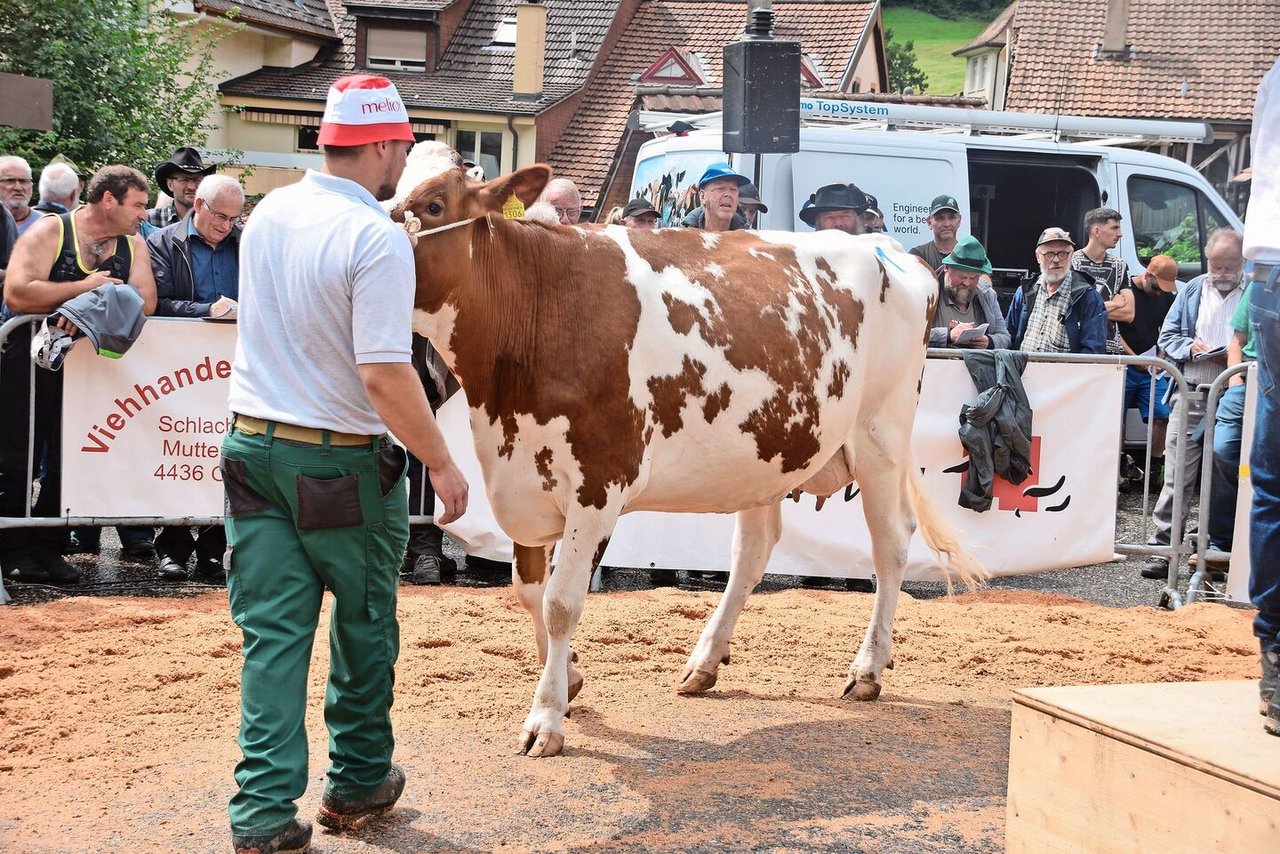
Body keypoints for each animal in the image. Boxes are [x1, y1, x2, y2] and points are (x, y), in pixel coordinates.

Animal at [386, 156, 977, 757]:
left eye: (433, 205)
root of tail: (892, 249)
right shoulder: (523, 477)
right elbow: (530, 594)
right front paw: (568, 678)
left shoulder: (599, 483)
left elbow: (561, 602)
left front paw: (546, 718)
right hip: (768, 452)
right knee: (753, 551)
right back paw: (705, 661)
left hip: (881, 437)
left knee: (890, 545)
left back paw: (867, 670)